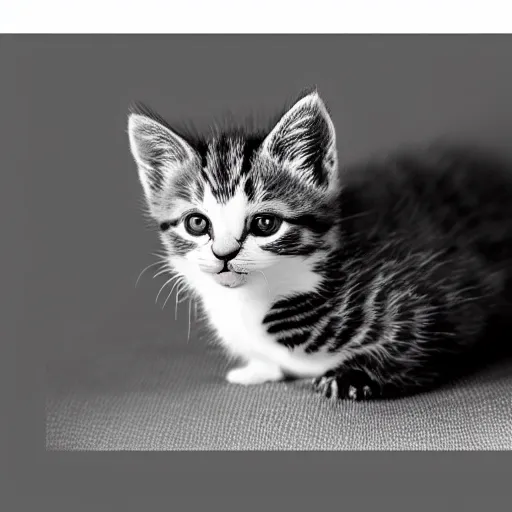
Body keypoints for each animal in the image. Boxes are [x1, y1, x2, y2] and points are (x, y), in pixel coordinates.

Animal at [127, 90, 512, 398]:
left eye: (265, 224)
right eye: (197, 223)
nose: (224, 254)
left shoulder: (443, 299)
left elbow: (424, 339)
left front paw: (352, 375)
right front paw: (257, 369)